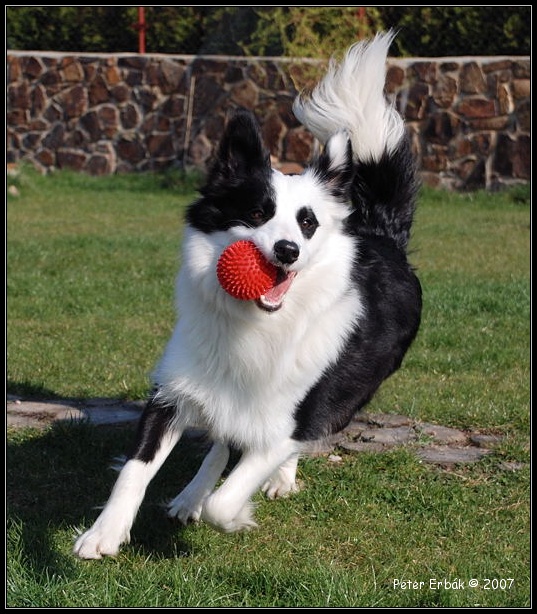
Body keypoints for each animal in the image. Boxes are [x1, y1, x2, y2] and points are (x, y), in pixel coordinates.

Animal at [73, 31, 420, 560]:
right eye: (257, 213)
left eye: (307, 223)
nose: (287, 250)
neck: (255, 321)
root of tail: (383, 234)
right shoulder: (174, 389)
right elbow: (136, 469)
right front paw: (104, 533)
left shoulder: (292, 417)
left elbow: (236, 488)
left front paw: (237, 516)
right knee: (221, 441)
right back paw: (191, 495)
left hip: (345, 394)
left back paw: (271, 481)